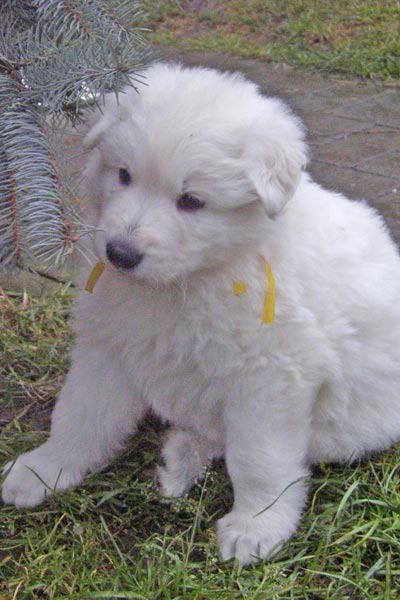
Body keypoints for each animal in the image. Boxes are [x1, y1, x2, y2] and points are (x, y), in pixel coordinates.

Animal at [3, 63, 400, 565]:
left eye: (191, 201)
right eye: (123, 174)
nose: (120, 253)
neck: (195, 278)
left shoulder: (268, 378)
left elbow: (258, 458)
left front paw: (256, 525)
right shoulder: (108, 346)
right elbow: (80, 416)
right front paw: (44, 469)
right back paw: (181, 456)